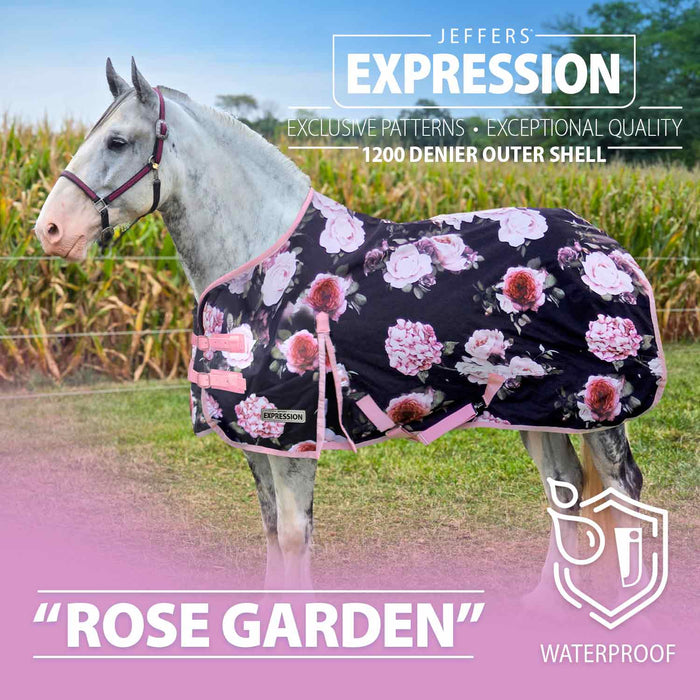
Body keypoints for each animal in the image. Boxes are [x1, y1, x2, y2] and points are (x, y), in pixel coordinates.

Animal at [35, 59, 665, 602]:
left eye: (117, 142)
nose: (49, 230)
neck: (263, 266)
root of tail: (603, 241)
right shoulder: (257, 440)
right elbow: (272, 530)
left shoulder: (292, 436)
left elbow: (294, 535)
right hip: (538, 409)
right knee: (565, 491)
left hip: (598, 407)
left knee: (622, 489)